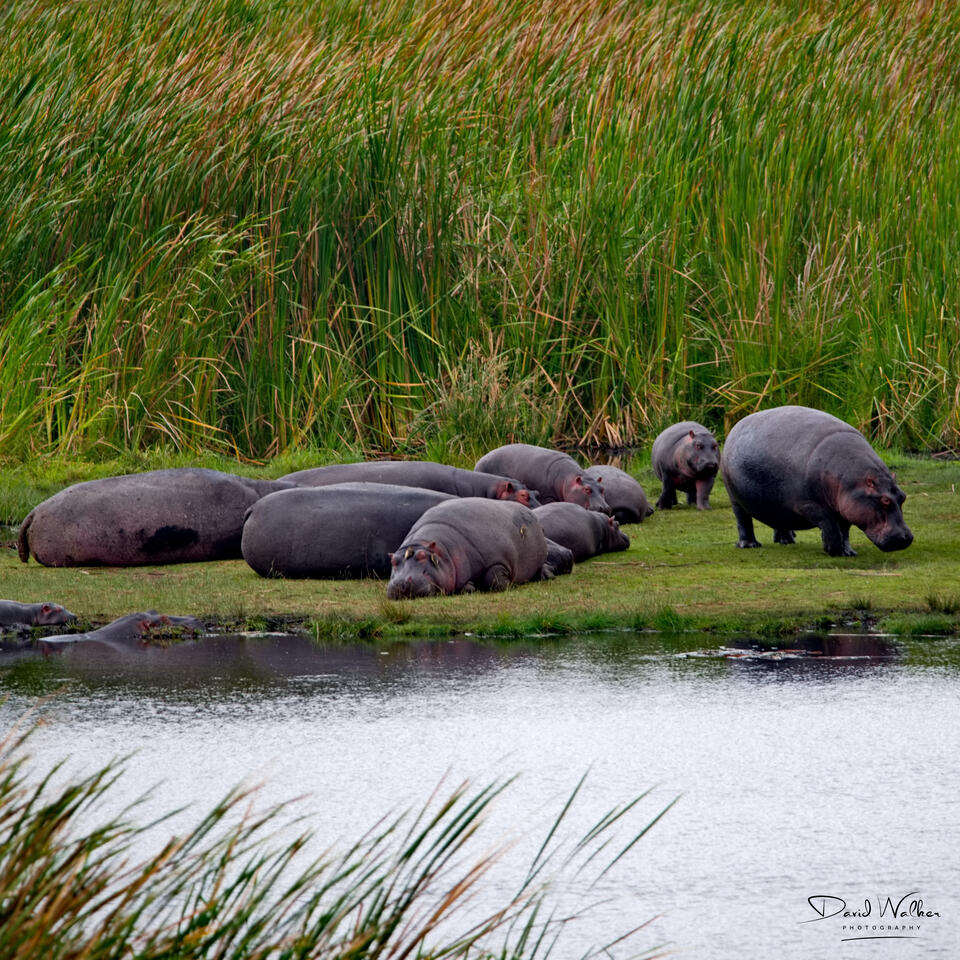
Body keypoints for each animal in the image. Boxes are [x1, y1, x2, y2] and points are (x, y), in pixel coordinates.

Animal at [386, 498, 550, 599]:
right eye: (393, 561)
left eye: (422, 556)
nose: (399, 583)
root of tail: (531, 513)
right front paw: (470, 586)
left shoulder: (496, 561)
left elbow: (495, 580)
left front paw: (509, 584)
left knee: (541, 566)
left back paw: (546, 575)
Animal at [474, 444, 609, 513]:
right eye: (587, 489)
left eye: (602, 489)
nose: (605, 508)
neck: (568, 480)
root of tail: (481, 459)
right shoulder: (547, 496)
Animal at [721, 406, 913, 556]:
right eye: (885, 500)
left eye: (903, 496)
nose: (905, 538)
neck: (853, 481)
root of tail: (737, 424)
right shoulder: (811, 506)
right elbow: (831, 527)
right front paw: (834, 551)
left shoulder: (846, 507)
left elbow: (845, 530)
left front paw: (849, 552)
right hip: (734, 497)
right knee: (743, 520)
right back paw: (750, 545)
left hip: (777, 504)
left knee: (781, 520)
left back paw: (787, 541)